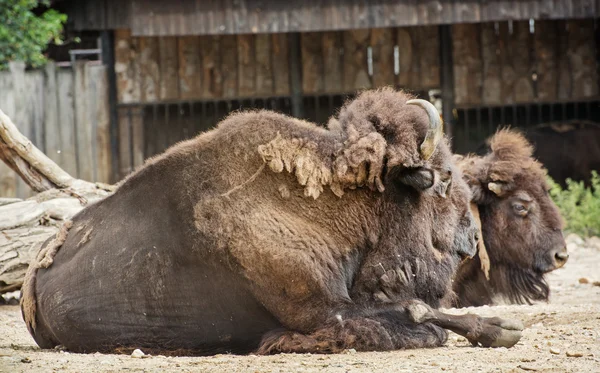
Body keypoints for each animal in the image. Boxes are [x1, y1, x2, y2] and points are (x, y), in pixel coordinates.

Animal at [21, 88, 524, 354]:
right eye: (441, 180)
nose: (470, 236)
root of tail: (31, 283)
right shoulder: (320, 308)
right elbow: (413, 316)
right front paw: (501, 328)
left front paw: (499, 328)